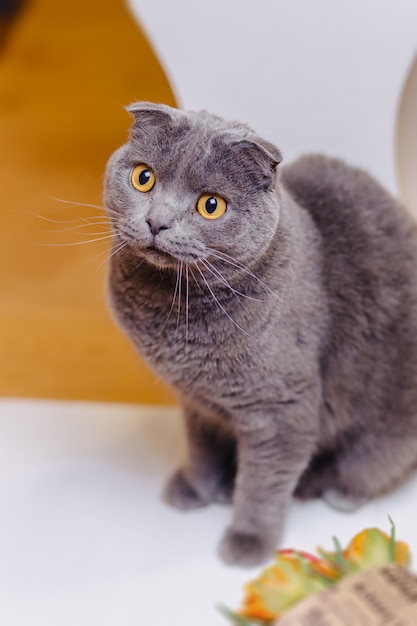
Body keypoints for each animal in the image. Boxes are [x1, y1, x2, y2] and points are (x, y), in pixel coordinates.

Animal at [102, 102, 416, 564]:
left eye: (211, 206)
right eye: (144, 178)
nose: (157, 222)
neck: (177, 311)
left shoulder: (281, 408)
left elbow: (263, 482)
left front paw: (248, 539)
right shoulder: (196, 401)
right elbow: (202, 448)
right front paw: (196, 488)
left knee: (374, 462)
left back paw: (333, 488)